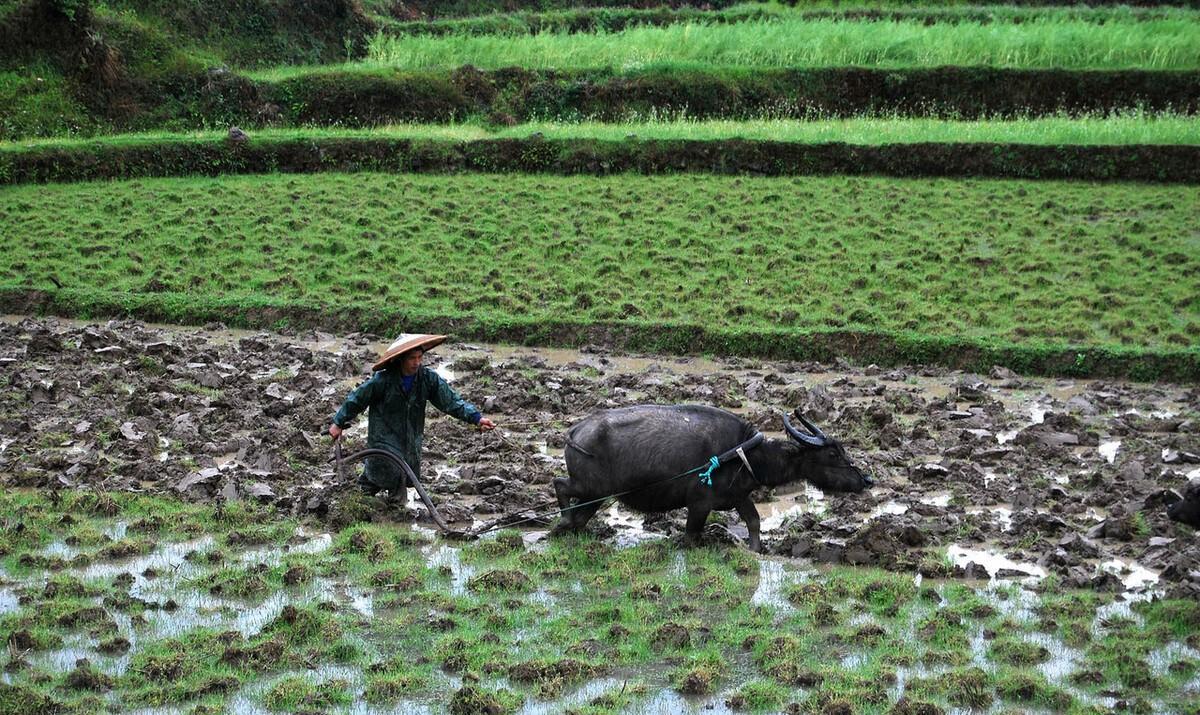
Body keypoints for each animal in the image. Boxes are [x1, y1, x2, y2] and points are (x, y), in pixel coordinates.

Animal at [552, 405, 873, 549]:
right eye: (832, 454)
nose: (866, 480)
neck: (744, 454)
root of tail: (576, 431)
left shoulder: (738, 497)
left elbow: (754, 521)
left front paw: (756, 549)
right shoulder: (699, 504)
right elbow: (691, 534)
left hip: (595, 496)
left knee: (579, 515)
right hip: (592, 488)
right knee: (560, 485)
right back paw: (562, 522)